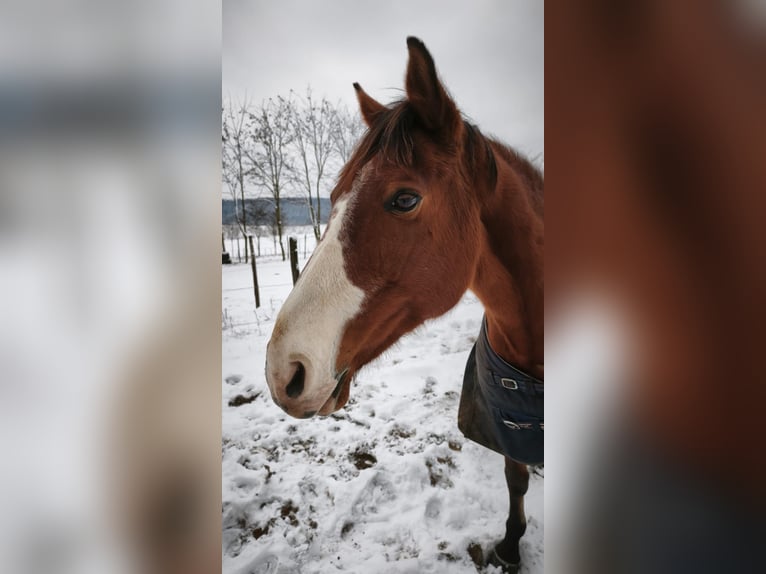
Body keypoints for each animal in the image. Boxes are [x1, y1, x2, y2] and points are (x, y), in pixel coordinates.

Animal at [265, 37, 543, 573]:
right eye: (333, 197)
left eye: (405, 199)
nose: (282, 371)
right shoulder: (508, 428)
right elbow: (515, 477)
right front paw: (510, 545)